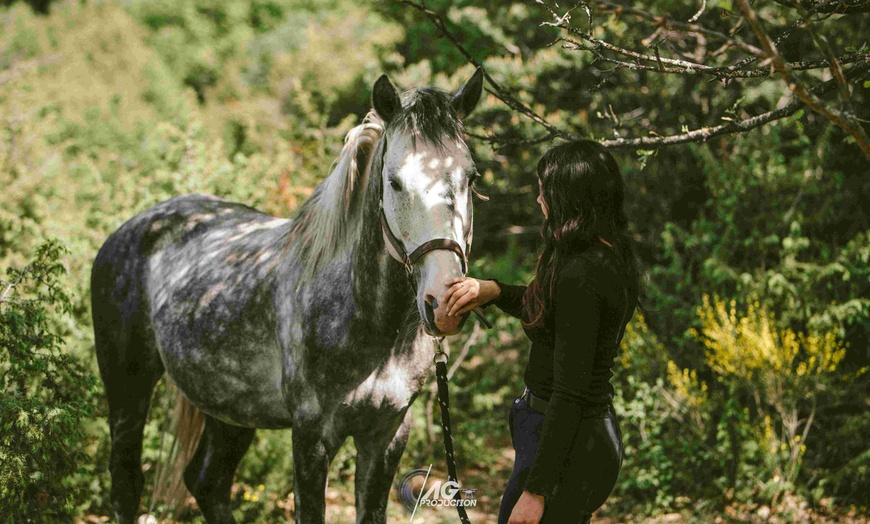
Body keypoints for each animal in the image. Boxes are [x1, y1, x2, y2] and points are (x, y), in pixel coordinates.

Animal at [92, 70, 488, 524]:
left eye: (471, 177)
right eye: (395, 181)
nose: (445, 300)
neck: (367, 322)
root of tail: (133, 227)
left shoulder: (386, 435)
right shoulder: (311, 437)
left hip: (231, 409)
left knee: (207, 482)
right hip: (128, 391)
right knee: (127, 481)